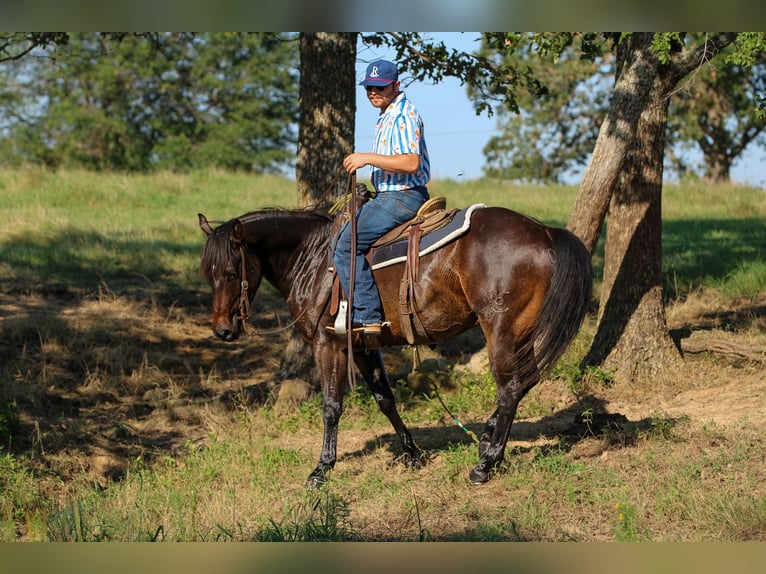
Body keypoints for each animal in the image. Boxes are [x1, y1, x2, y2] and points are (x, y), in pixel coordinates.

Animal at [198, 202, 592, 486]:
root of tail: (545, 232)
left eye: (231, 273)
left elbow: (331, 407)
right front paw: (412, 453)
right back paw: (486, 439)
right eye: (208, 274)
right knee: (526, 381)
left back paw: (486, 463)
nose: (223, 331)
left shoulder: (329, 344)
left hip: (501, 328)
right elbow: (385, 399)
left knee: (510, 387)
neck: (313, 260)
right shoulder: (364, 346)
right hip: (521, 330)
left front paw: (322, 469)